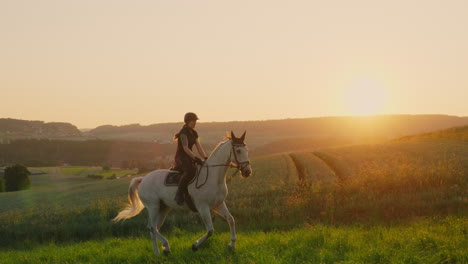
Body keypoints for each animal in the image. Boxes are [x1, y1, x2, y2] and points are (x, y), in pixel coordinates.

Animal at [112, 131, 252, 255]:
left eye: (246, 150)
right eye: (238, 151)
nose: (247, 172)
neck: (214, 177)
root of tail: (143, 178)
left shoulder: (218, 205)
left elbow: (231, 220)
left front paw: (231, 245)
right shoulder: (203, 207)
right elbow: (210, 230)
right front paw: (195, 246)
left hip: (164, 208)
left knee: (155, 228)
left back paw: (159, 252)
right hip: (153, 206)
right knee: (151, 227)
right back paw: (166, 247)